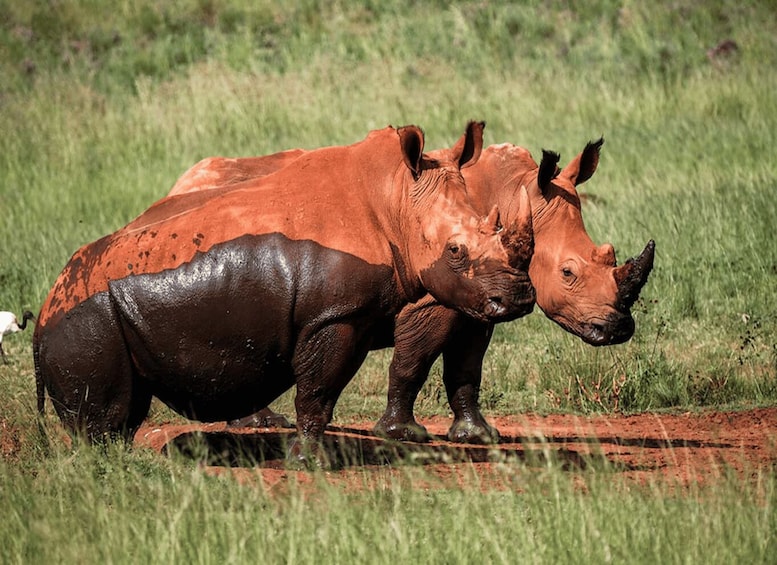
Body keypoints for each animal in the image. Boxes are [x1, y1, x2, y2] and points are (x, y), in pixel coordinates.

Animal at [33, 122, 536, 467]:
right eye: (455, 250)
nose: (517, 299)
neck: (395, 200)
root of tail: (39, 319)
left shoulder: (352, 313)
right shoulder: (333, 316)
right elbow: (319, 390)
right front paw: (310, 462)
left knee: (129, 405)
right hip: (86, 319)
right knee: (107, 412)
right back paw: (108, 466)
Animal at [166, 137, 654, 444]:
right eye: (569, 272)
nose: (618, 329)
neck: (512, 194)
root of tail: (178, 185)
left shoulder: (481, 301)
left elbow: (466, 368)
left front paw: (478, 436)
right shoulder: (434, 298)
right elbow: (412, 363)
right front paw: (402, 434)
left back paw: (260, 423)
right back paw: (258, 425)